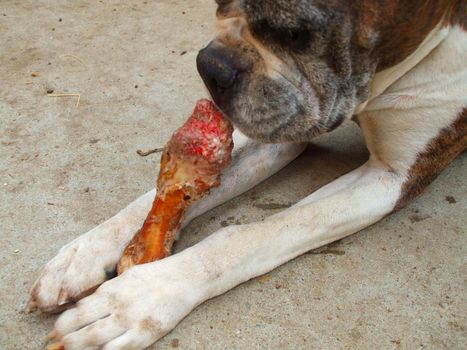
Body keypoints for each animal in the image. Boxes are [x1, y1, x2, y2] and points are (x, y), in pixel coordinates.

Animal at [28, 0, 464, 350]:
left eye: (296, 33)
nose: (211, 66)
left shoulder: (392, 176)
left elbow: (256, 234)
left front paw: (139, 298)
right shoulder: (277, 132)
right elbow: (158, 196)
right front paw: (86, 250)